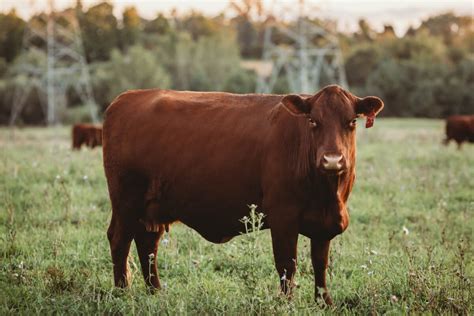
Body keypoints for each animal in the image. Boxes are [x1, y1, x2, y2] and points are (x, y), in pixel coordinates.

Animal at [102, 84, 384, 304]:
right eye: (313, 121)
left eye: (352, 122)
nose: (332, 160)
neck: (327, 194)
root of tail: (127, 97)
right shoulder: (283, 218)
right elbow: (287, 264)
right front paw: (287, 303)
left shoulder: (323, 224)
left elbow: (320, 263)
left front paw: (324, 302)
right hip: (126, 201)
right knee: (120, 240)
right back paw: (123, 292)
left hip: (153, 207)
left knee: (147, 244)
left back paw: (155, 292)